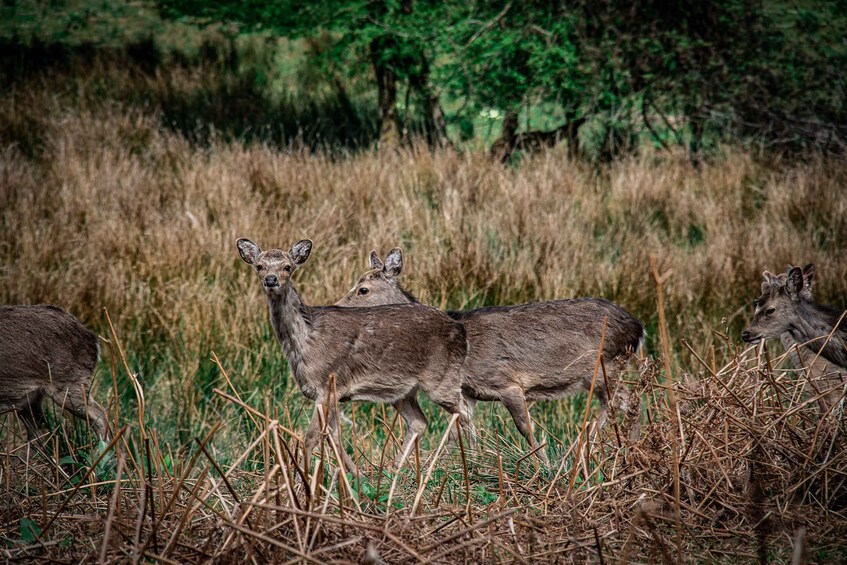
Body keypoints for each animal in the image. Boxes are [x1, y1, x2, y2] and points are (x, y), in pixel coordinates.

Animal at [235, 236, 474, 474]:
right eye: (259, 266)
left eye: (287, 267)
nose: (271, 280)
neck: (303, 341)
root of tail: (459, 329)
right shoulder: (329, 392)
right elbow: (333, 435)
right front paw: (356, 474)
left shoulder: (327, 385)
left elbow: (311, 437)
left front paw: (304, 478)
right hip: (403, 392)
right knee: (420, 421)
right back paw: (396, 469)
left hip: (441, 378)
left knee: (464, 413)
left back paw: (469, 460)